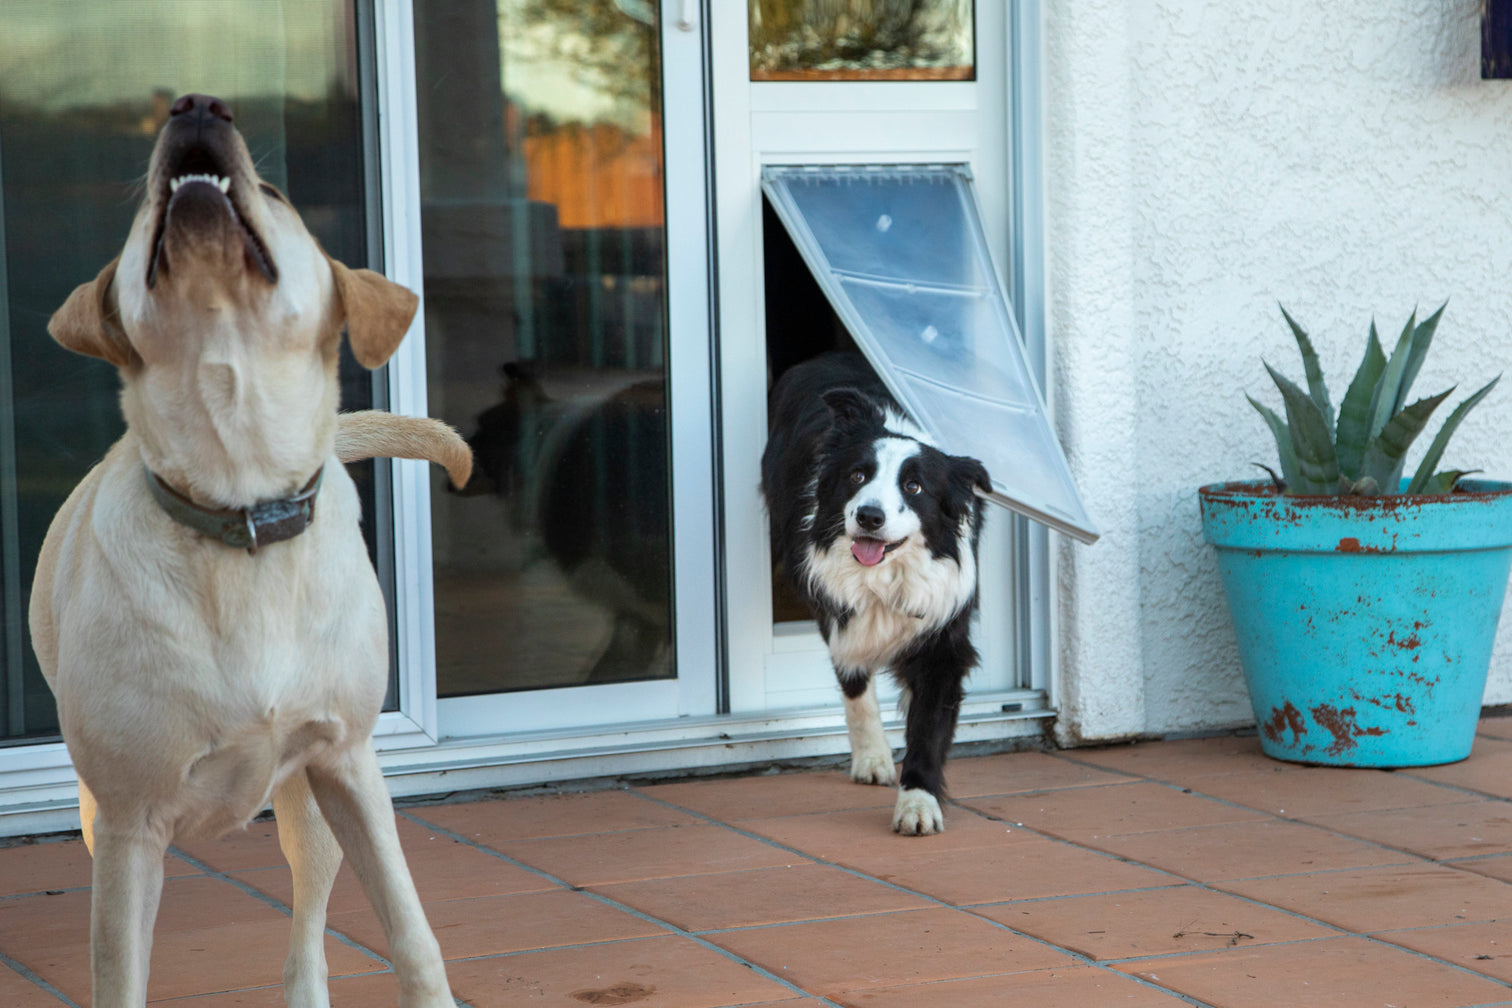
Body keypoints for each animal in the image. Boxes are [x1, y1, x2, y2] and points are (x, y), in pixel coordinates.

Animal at [29, 92, 459, 1003]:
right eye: (139, 216)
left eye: (275, 191)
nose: (196, 105)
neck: (242, 506)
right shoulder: (127, 828)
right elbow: (120, 974)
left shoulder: (348, 767)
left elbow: (412, 935)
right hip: (99, 822)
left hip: (312, 811)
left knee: (307, 934)